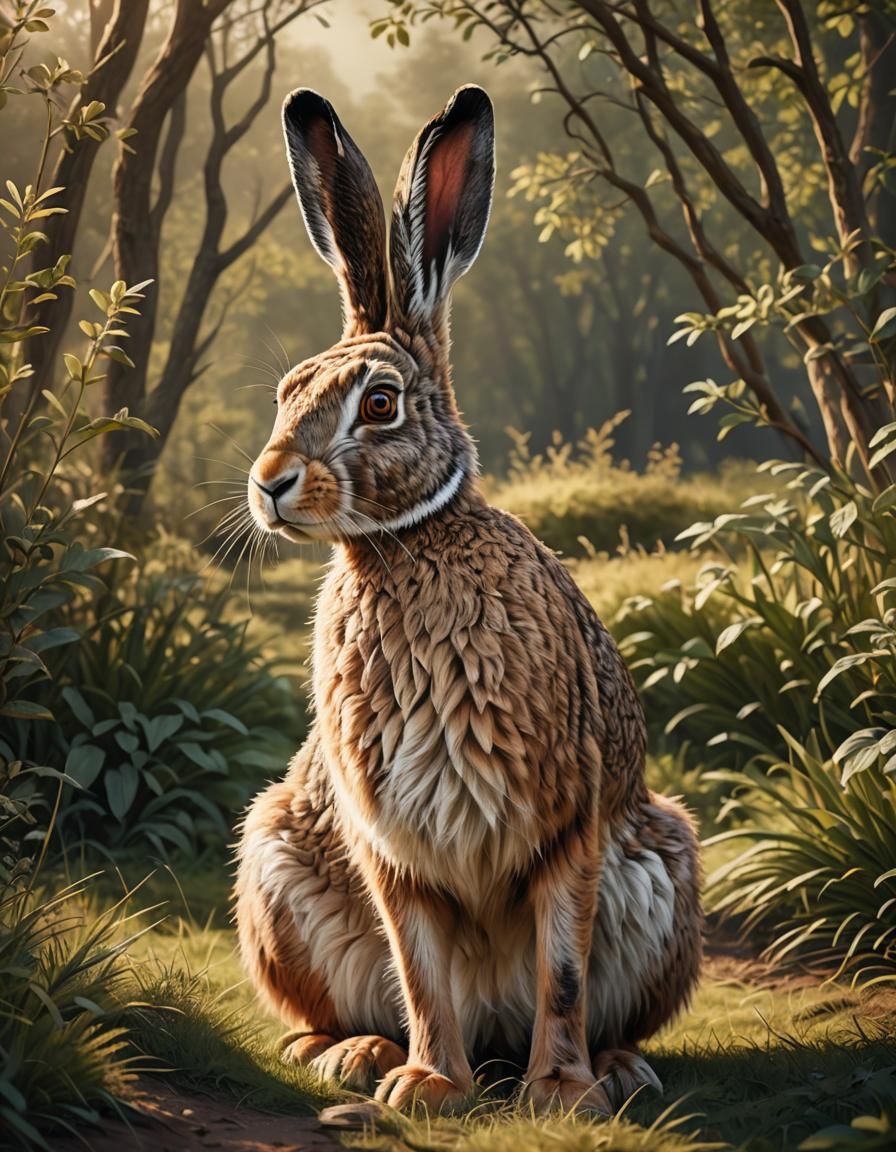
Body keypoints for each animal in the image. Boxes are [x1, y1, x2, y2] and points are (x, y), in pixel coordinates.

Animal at [235, 84, 702, 1115]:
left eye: (379, 404)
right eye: (287, 392)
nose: (270, 483)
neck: (406, 544)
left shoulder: (568, 825)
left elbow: (561, 969)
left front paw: (560, 1095)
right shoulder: (390, 844)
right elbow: (419, 968)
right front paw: (426, 1087)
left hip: (664, 876)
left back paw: (618, 1069)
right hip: (278, 874)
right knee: (337, 1002)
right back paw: (351, 1056)